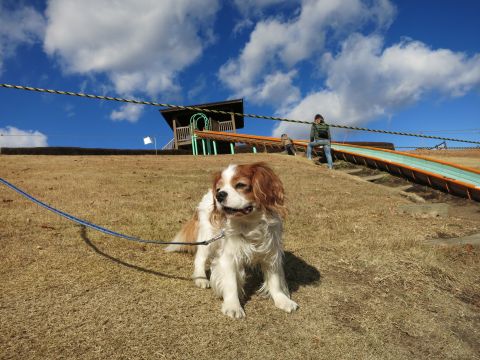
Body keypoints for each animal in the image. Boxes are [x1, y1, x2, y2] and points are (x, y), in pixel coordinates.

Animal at [167, 162, 298, 318]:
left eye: (240, 185)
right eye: (219, 189)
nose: (219, 195)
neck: (249, 224)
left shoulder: (271, 253)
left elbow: (275, 281)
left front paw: (282, 300)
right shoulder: (228, 257)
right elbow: (231, 284)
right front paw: (233, 306)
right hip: (208, 237)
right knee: (200, 258)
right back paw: (201, 278)